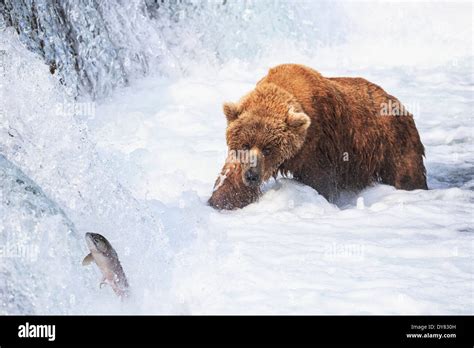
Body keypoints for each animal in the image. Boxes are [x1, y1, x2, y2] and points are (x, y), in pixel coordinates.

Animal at [209, 63, 428, 209]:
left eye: (268, 148)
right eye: (245, 145)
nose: (252, 175)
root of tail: (398, 102)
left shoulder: (318, 143)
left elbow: (319, 179)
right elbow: (231, 177)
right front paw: (220, 201)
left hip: (391, 140)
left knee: (406, 172)